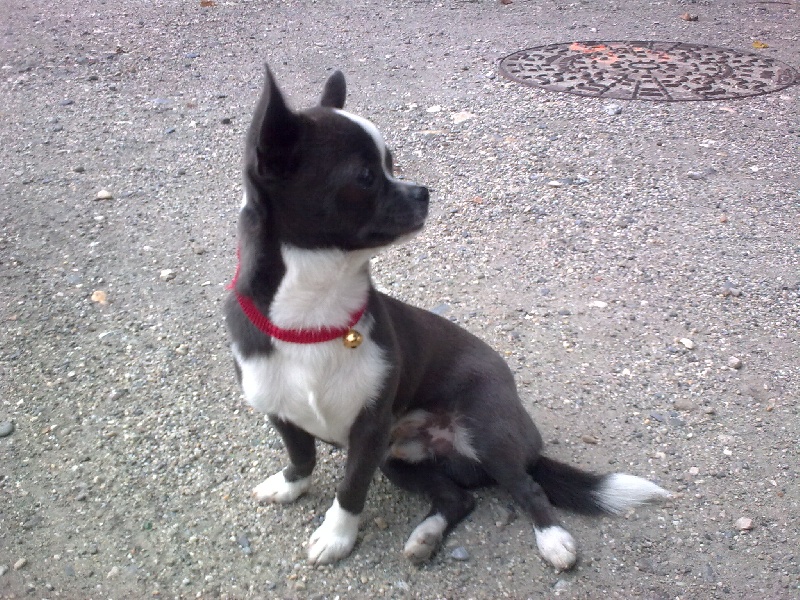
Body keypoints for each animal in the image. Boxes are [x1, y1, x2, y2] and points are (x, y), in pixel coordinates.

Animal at [225, 66, 670, 570]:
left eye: (392, 164)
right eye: (365, 176)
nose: (423, 192)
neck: (313, 313)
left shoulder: (369, 432)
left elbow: (350, 489)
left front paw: (337, 536)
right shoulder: (284, 413)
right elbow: (303, 457)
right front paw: (290, 486)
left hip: (485, 433)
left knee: (527, 488)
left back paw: (553, 539)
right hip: (398, 460)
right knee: (459, 498)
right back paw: (426, 535)